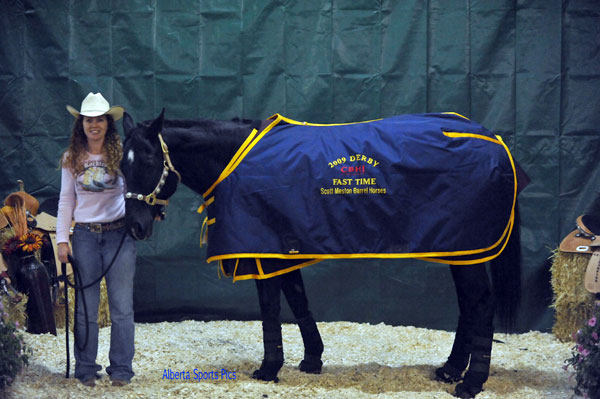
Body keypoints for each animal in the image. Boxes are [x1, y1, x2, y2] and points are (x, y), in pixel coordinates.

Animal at [120, 110, 520, 399]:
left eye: (148, 161)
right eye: (122, 164)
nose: (134, 227)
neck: (236, 160)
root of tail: (493, 139)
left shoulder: (262, 252)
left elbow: (270, 310)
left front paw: (268, 369)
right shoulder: (283, 248)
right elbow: (298, 301)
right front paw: (312, 359)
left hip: (468, 250)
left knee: (481, 303)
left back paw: (470, 383)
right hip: (462, 250)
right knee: (469, 304)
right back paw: (450, 370)